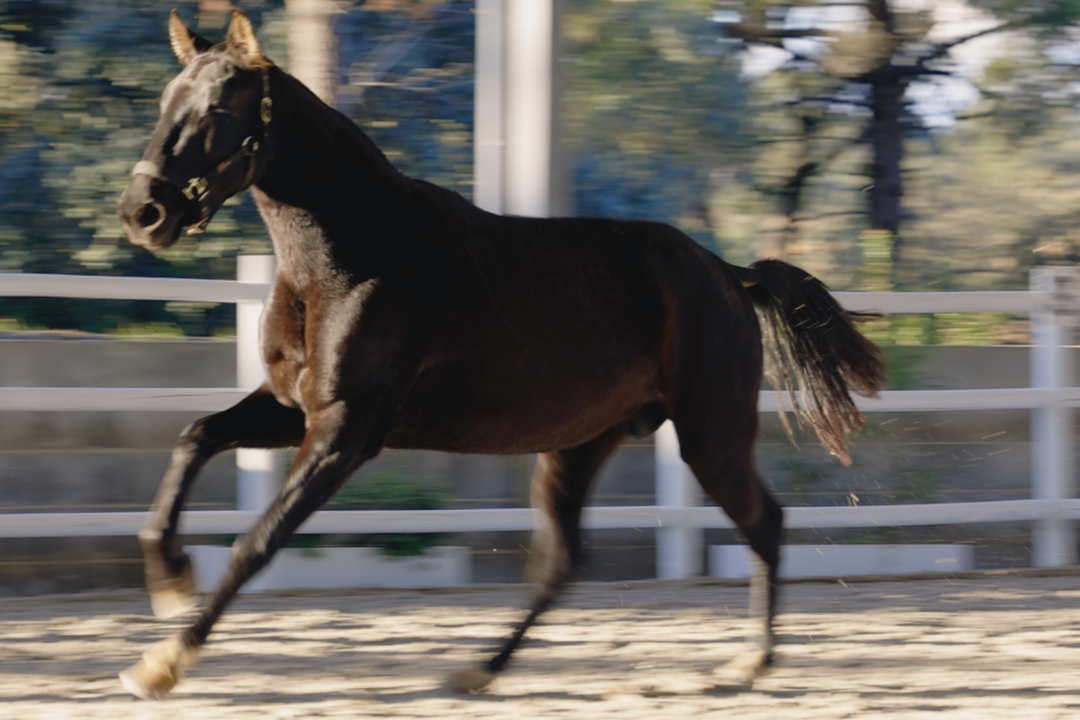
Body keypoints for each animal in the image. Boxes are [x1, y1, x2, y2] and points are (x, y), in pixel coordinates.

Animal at [113, 8, 881, 699]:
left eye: (218, 108)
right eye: (165, 101)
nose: (143, 212)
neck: (351, 256)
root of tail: (726, 272)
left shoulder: (344, 432)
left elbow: (257, 543)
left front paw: (162, 664)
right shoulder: (291, 408)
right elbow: (195, 437)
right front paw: (170, 582)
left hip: (710, 437)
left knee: (764, 523)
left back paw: (749, 662)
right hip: (580, 445)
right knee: (563, 560)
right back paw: (480, 670)